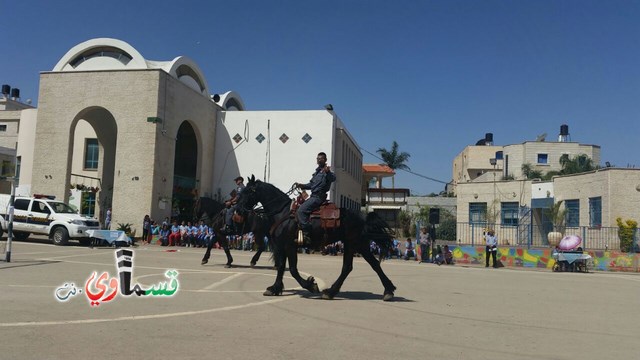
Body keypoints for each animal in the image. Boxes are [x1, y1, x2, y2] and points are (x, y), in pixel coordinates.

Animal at [235, 176, 396, 300]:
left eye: (247, 191)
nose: (238, 210)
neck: (283, 212)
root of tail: (363, 217)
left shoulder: (289, 246)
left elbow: (292, 269)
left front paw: (311, 285)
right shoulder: (282, 246)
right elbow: (281, 267)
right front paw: (275, 288)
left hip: (355, 244)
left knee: (359, 266)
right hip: (356, 244)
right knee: (362, 265)